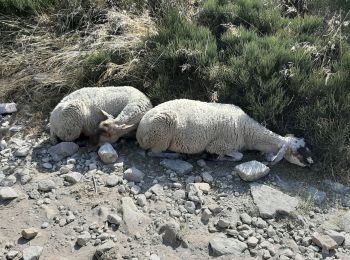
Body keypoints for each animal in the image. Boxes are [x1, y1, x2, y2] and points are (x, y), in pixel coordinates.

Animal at [135, 98, 314, 168]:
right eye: (298, 152)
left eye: (306, 146)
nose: (312, 163)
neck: (247, 131)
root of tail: (139, 131)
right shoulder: (218, 145)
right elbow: (239, 156)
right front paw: (218, 158)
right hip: (160, 133)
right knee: (153, 153)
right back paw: (176, 155)